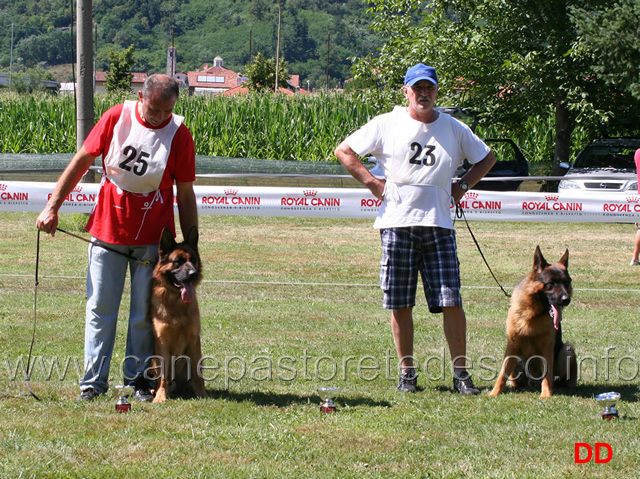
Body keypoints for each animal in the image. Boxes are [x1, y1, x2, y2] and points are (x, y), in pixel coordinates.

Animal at [149, 227, 206, 404]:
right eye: (177, 262)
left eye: (192, 259)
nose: (193, 274)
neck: (177, 302)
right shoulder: (162, 342)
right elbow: (163, 377)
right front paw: (160, 397)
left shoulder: (194, 340)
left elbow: (197, 374)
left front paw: (202, 394)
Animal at [492, 246, 576, 400]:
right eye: (550, 284)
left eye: (566, 283)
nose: (566, 299)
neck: (532, 315)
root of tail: (532, 383)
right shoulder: (512, 346)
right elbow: (502, 374)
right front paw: (493, 393)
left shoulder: (547, 348)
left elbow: (547, 376)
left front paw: (546, 394)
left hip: (568, 349)